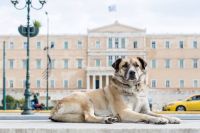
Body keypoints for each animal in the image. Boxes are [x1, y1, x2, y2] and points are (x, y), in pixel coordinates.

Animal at [50, 56, 181, 124]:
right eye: (124, 66)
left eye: (137, 65)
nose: (132, 73)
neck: (134, 89)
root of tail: (57, 105)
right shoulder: (125, 111)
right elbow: (146, 115)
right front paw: (158, 119)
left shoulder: (146, 110)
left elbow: (155, 113)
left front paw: (171, 118)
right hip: (85, 99)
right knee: (88, 117)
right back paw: (106, 119)